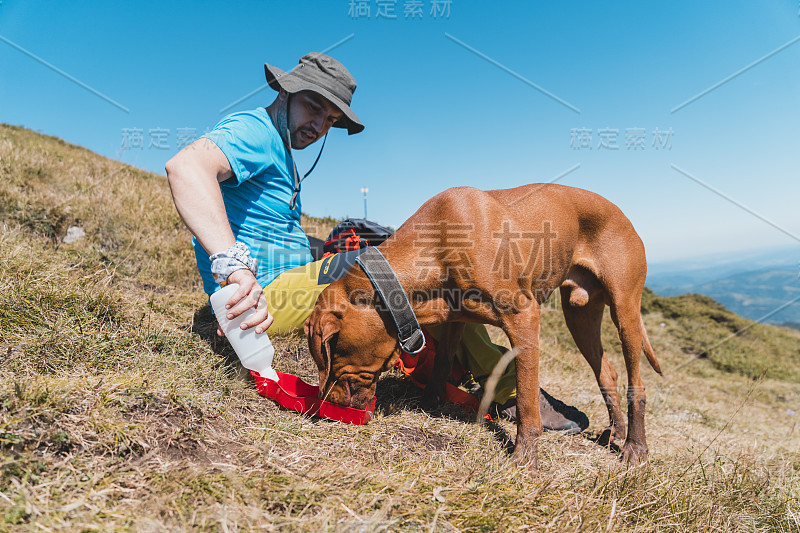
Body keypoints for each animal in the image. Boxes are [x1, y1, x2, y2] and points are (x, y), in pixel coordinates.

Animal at [304, 184, 660, 466]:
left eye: (329, 349)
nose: (326, 404)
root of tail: (623, 215)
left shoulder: (524, 318)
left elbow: (527, 398)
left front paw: (525, 456)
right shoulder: (455, 319)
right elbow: (441, 365)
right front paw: (429, 403)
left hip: (625, 310)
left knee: (637, 384)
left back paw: (635, 447)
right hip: (580, 316)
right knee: (607, 374)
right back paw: (616, 431)